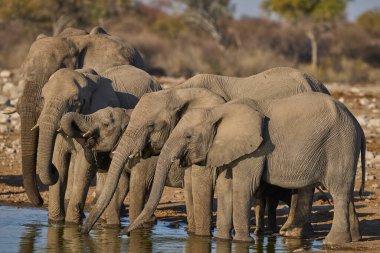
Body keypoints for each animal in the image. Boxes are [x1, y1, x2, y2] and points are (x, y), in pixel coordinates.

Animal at [81, 66, 330, 235]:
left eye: (151, 125)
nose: (84, 232)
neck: (178, 92)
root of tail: (321, 85)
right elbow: (191, 182)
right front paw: (193, 233)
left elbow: (200, 181)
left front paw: (201, 236)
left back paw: (292, 233)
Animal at [127, 95, 366, 245]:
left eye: (188, 136)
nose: (127, 233)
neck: (217, 112)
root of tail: (359, 126)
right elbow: (226, 186)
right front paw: (221, 240)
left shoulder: (256, 150)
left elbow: (243, 186)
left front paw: (243, 241)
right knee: (346, 193)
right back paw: (354, 239)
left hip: (340, 144)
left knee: (339, 191)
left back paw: (333, 241)